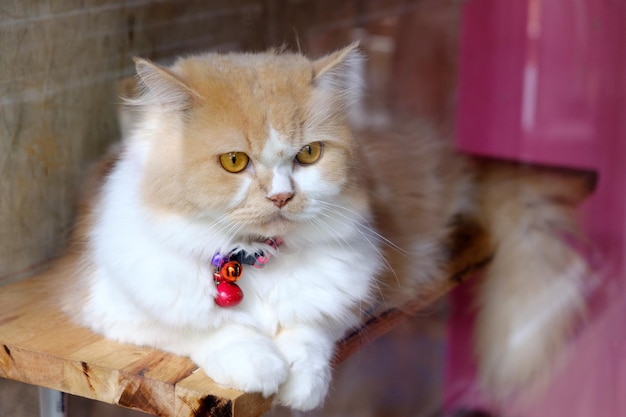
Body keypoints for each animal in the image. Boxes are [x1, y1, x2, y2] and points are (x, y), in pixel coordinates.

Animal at [56, 43, 588, 410]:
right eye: (234, 161)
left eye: (308, 154)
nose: (281, 196)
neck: (256, 259)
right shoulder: (107, 301)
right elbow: (203, 329)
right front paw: (259, 365)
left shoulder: (362, 292)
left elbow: (311, 331)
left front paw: (301, 384)